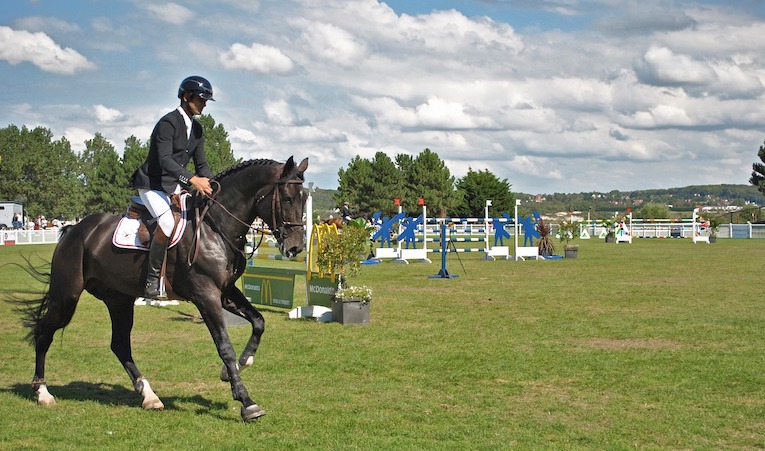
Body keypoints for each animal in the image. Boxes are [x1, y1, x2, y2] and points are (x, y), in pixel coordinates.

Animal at [14, 156, 308, 424]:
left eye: (304, 199)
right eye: (287, 198)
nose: (295, 248)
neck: (215, 225)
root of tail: (74, 230)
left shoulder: (225, 291)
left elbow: (259, 321)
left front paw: (238, 366)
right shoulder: (206, 294)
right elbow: (225, 346)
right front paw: (246, 402)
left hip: (119, 299)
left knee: (120, 345)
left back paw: (149, 396)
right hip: (67, 295)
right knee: (44, 334)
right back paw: (42, 392)